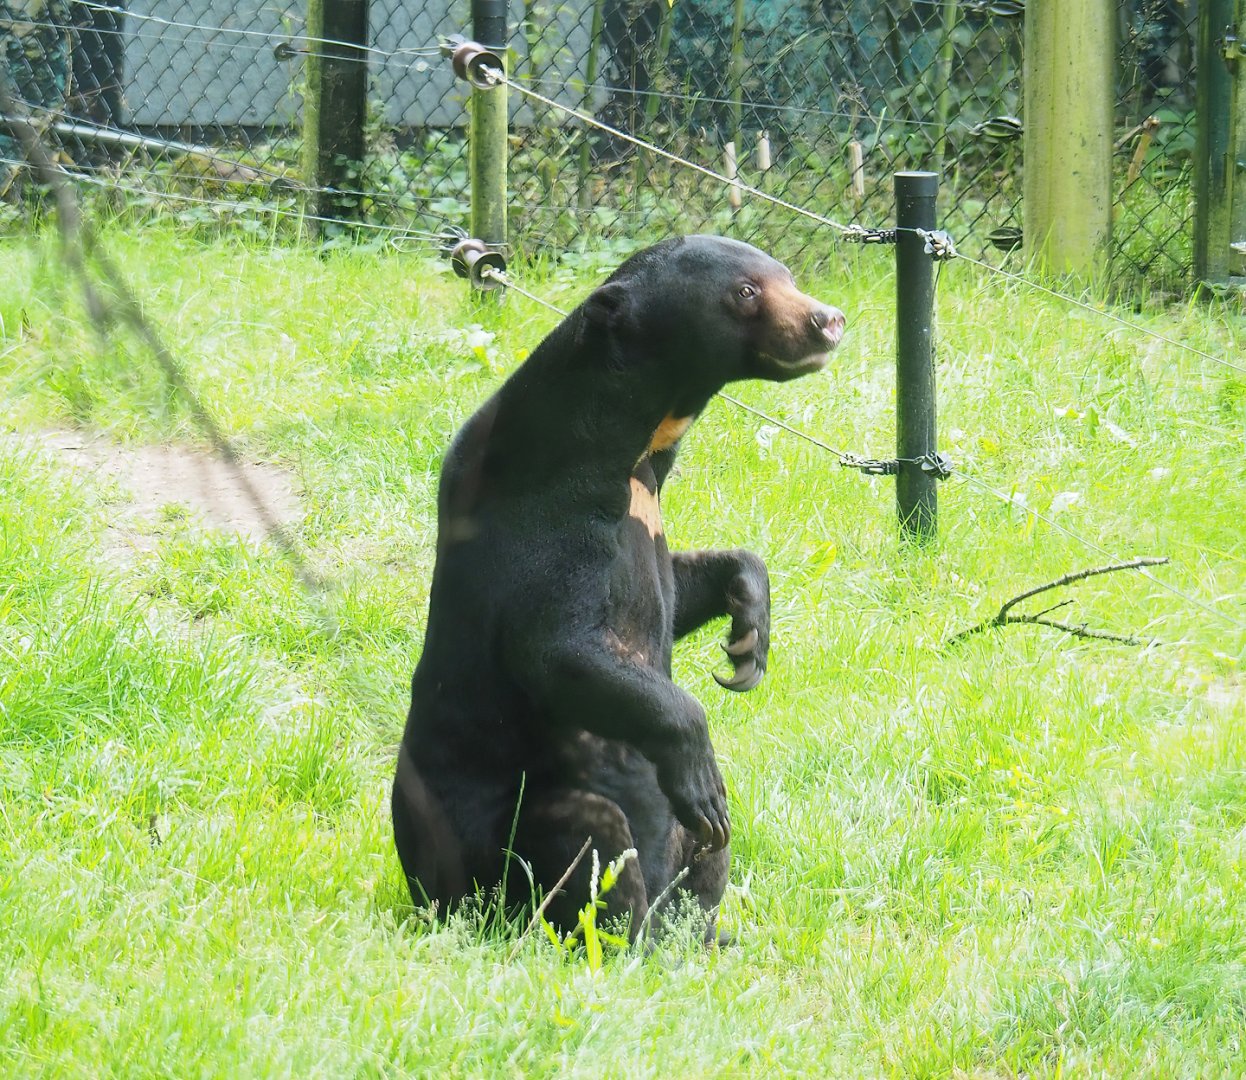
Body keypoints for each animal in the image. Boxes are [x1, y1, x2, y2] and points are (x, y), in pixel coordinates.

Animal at [392, 235, 845, 943]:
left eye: (788, 276)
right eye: (745, 291)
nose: (829, 320)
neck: (634, 452)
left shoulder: (644, 513)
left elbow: (683, 587)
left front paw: (748, 640)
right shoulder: (548, 524)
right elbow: (557, 651)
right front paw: (698, 767)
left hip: (678, 861)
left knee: (707, 859)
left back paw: (707, 934)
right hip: (503, 862)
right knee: (591, 842)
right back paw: (634, 939)